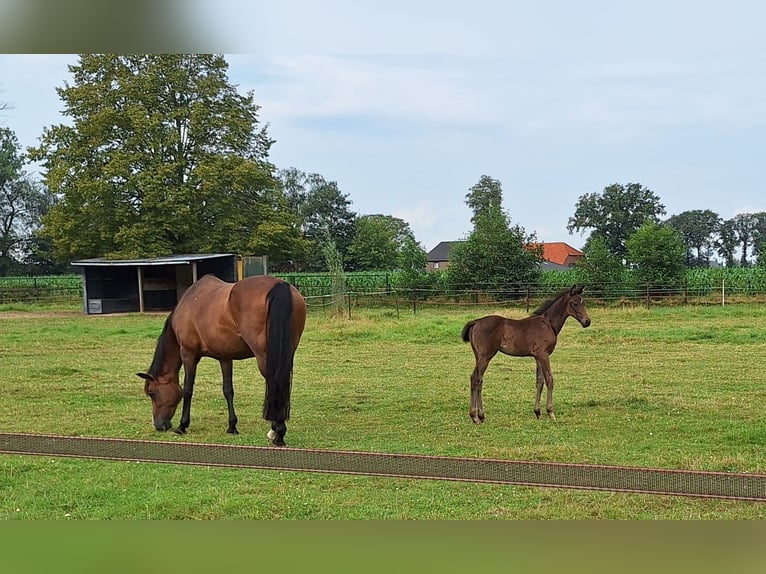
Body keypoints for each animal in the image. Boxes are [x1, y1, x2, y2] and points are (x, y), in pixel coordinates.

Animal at [136, 276, 308, 450]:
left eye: (152, 393)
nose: (159, 425)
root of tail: (280, 285)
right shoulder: (225, 357)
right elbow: (228, 390)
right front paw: (232, 426)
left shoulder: (188, 355)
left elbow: (187, 390)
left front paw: (182, 426)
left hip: (265, 357)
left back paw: (277, 432)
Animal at [462, 286, 592, 426]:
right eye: (574, 303)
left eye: (584, 303)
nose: (587, 321)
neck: (548, 324)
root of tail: (475, 322)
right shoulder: (544, 355)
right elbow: (550, 380)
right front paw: (551, 413)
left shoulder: (538, 356)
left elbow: (540, 381)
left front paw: (538, 413)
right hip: (485, 356)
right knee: (475, 379)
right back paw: (474, 417)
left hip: (479, 356)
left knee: (479, 380)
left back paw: (481, 416)